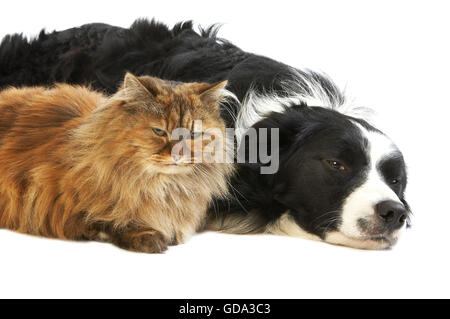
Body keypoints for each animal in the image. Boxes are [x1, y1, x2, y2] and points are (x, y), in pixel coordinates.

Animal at [0, 74, 234, 254]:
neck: (163, 188)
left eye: (194, 134)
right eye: (159, 131)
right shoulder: (51, 203)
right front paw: (151, 236)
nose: (178, 154)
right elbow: (111, 221)